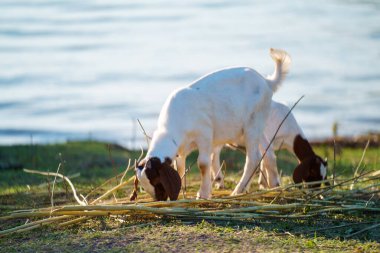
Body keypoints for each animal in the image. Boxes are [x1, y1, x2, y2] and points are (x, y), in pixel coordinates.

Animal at [134, 48, 290, 201]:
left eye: (156, 181)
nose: (159, 199)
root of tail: (266, 81)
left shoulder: (204, 134)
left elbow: (203, 164)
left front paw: (202, 194)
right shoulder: (182, 150)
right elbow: (180, 166)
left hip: (253, 123)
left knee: (253, 158)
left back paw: (238, 191)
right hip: (258, 124)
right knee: (268, 151)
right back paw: (274, 184)